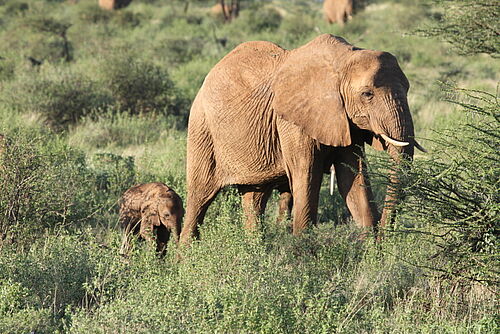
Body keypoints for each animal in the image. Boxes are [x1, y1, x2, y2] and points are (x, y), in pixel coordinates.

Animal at [180, 34, 426, 244]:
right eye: (367, 94)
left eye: (408, 88)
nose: (384, 239)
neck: (341, 59)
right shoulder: (292, 120)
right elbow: (307, 175)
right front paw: (305, 253)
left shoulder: (345, 121)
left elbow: (352, 177)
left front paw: (371, 253)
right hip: (202, 130)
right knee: (199, 196)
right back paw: (185, 260)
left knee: (254, 199)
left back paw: (255, 252)